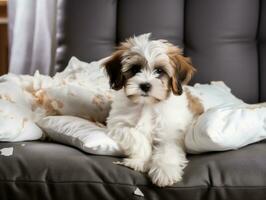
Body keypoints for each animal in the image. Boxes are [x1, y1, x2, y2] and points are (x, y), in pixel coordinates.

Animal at [103, 33, 198, 188]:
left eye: (159, 71)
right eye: (135, 69)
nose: (145, 85)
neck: (147, 105)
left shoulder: (170, 133)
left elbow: (168, 149)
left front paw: (165, 172)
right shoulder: (117, 123)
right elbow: (135, 135)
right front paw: (141, 161)